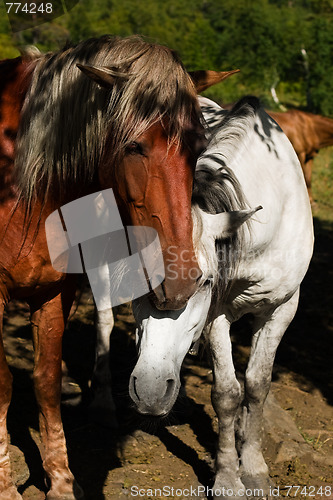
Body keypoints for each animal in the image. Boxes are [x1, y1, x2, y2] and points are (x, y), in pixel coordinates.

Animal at [0, 36, 236, 500]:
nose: (179, 280)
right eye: (133, 146)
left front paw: (60, 481)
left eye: (198, 147)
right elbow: (3, 387)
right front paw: (4, 486)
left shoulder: (55, 292)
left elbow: (45, 381)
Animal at [128, 96, 312, 500]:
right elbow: (226, 394)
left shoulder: (282, 309)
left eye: (205, 281)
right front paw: (228, 478)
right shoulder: (218, 317)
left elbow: (257, 386)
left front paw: (255, 468)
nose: (149, 392)